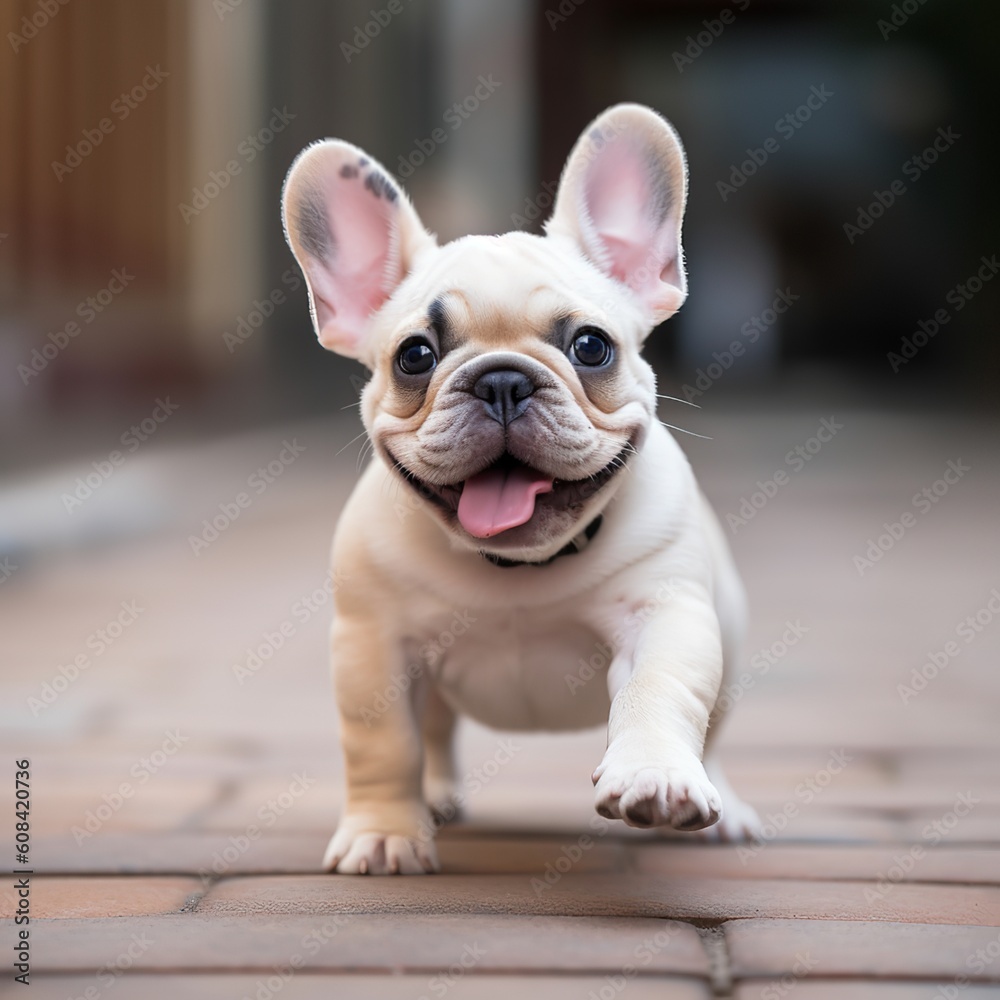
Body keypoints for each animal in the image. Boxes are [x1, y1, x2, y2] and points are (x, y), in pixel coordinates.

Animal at [282, 97, 756, 872]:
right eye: (415, 356)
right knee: (433, 732)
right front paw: (384, 831)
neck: (518, 566)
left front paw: (655, 775)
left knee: (713, 726)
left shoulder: (664, 614)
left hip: (731, 634)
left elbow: (659, 691)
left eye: (591, 347)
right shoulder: (372, 647)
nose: (502, 379)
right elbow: (384, 745)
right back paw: (435, 799)